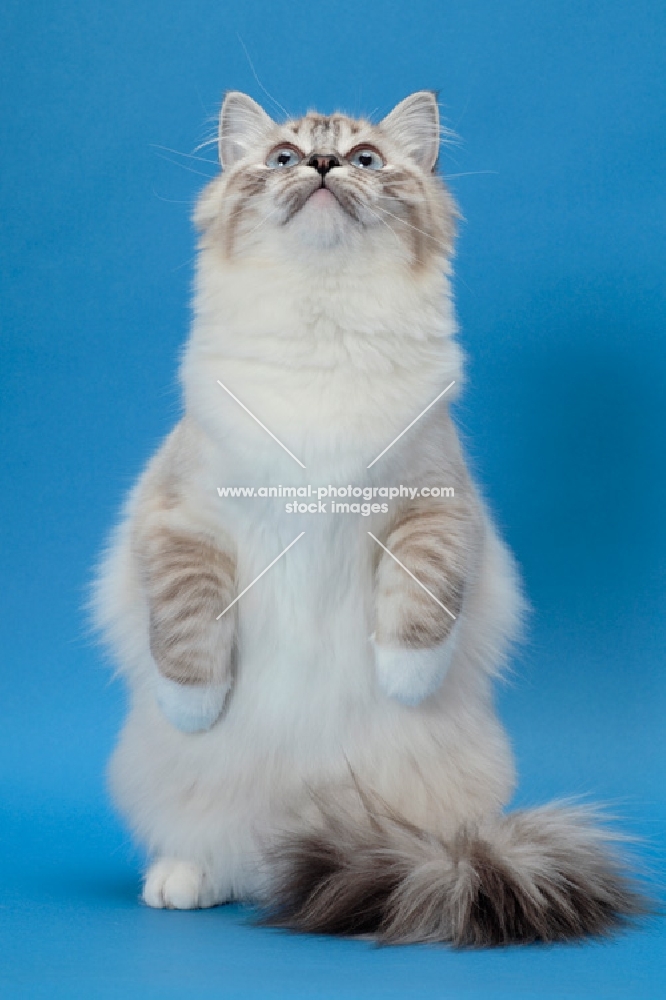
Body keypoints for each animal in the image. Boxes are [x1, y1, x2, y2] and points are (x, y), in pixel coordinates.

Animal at [91, 90, 640, 940]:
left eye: (365, 160)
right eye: (285, 159)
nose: (321, 166)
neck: (323, 339)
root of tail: (292, 839)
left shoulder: (432, 509)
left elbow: (420, 606)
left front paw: (403, 680)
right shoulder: (185, 523)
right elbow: (187, 633)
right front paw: (194, 707)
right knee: (215, 848)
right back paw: (187, 879)